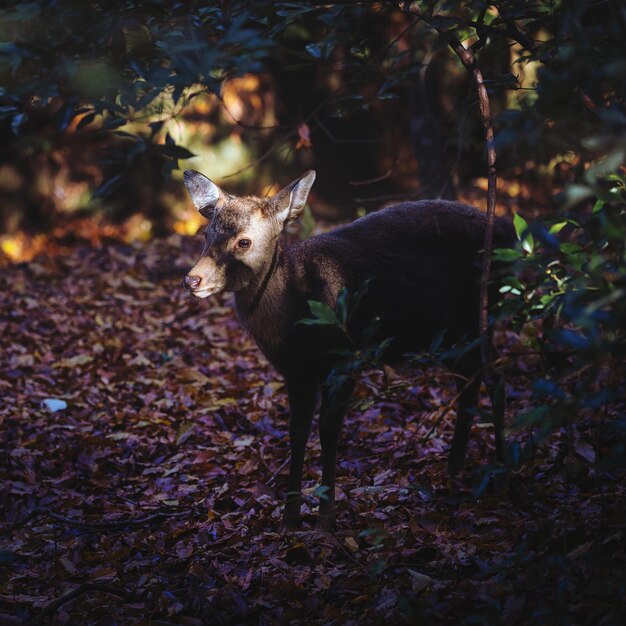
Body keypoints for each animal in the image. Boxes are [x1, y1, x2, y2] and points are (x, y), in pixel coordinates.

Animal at [180, 168, 512, 528]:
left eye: (244, 241)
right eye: (207, 233)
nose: (193, 279)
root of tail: (507, 234)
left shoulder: (346, 358)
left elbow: (328, 429)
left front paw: (326, 516)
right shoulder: (296, 372)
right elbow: (297, 432)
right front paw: (290, 517)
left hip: (477, 316)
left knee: (496, 379)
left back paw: (501, 470)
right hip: (451, 334)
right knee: (470, 379)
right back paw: (456, 466)